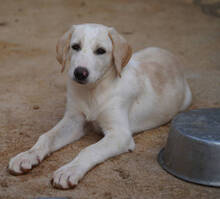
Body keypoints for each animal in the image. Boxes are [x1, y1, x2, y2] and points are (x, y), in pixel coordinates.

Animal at [8, 23, 191, 190]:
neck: (93, 91)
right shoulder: (74, 121)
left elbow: (90, 150)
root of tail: (171, 55)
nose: (80, 73)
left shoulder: (120, 134)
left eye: (101, 51)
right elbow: (46, 136)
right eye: (75, 46)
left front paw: (69, 170)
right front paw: (27, 155)